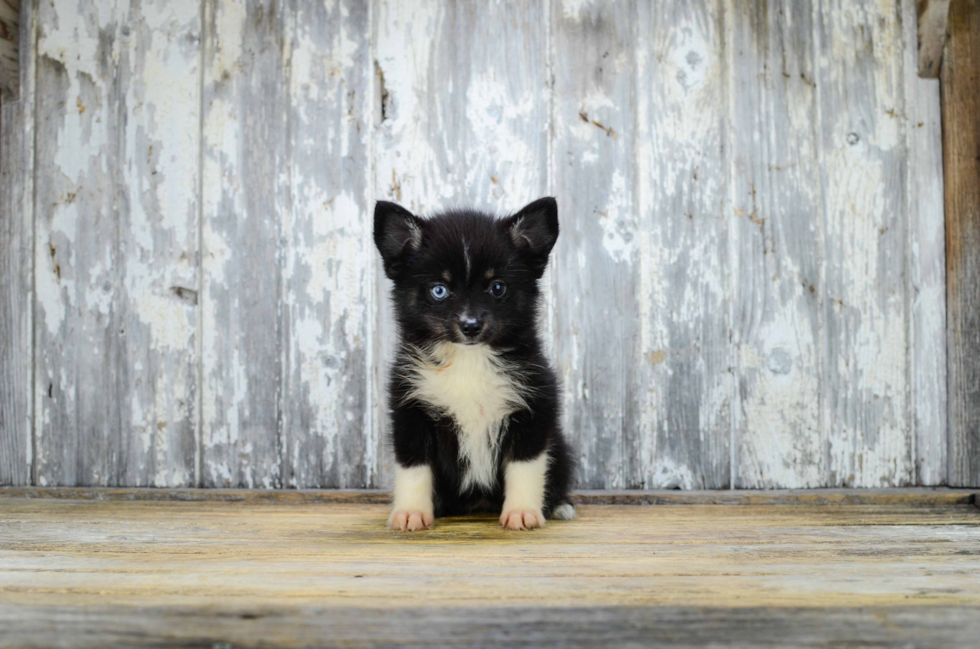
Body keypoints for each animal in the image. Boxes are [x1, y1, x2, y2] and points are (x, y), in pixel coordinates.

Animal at [374, 197, 576, 532]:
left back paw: (560, 505)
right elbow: (414, 465)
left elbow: (525, 465)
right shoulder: (409, 408)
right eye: (439, 290)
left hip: (560, 447)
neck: (468, 360)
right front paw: (411, 512)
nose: (470, 326)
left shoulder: (534, 404)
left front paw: (522, 512)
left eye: (497, 288)